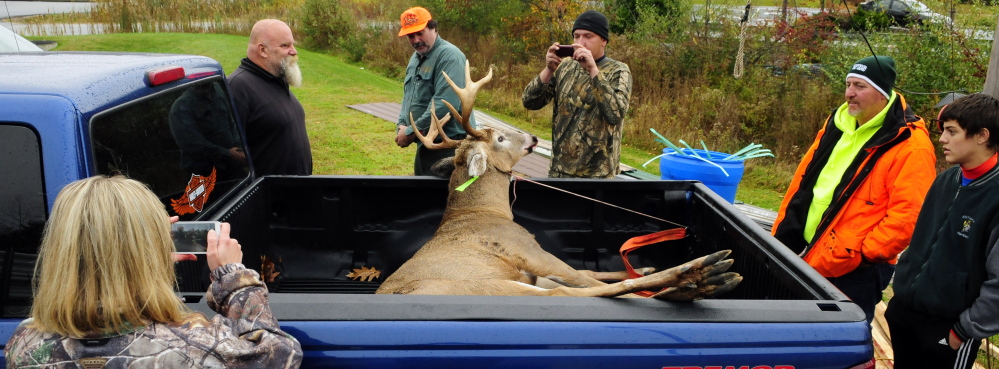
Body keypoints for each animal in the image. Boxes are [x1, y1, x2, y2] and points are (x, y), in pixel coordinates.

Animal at [376, 62, 744, 300]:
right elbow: (583, 278)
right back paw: (701, 275)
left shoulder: (534, 267)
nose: (532, 137)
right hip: (489, 287)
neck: (485, 212)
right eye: (500, 138)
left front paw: (644, 269)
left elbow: (591, 273)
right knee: (571, 293)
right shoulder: (529, 252)